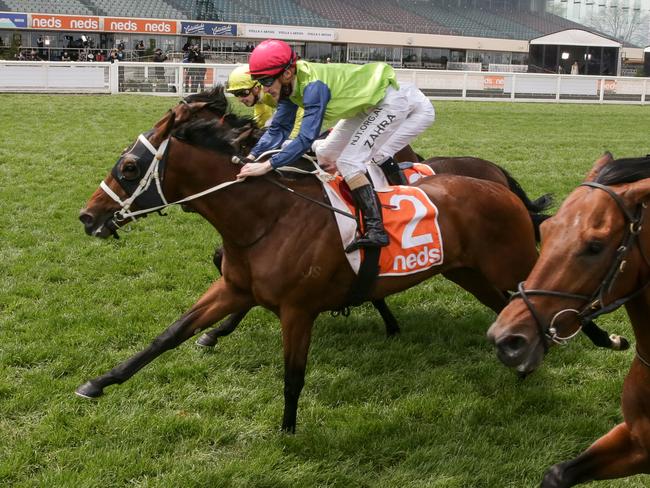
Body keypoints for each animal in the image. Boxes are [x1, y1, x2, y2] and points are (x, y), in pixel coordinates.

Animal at [78, 114, 540, 430]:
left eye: (129, 168)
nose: (87, 216)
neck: (268, 219)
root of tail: (500, 184)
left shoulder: (297, 310)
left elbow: (293, 374)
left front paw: (287, 431)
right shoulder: (233, 288)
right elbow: (170, 334)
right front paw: (98, 383)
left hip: (510, 267)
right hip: (469, 273)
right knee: (508, 309)